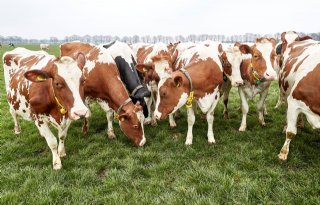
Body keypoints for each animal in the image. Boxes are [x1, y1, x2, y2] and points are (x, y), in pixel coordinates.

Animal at [278, 31, 318, 161]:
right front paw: (283, 153)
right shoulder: (294, 102)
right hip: (285, 92)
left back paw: (300, 123)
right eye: (283, 40)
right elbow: (291, 132)